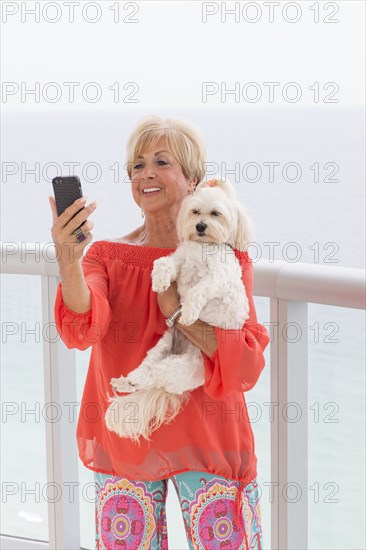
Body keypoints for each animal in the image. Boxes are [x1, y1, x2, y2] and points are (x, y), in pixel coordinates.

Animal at [103, 180, 252, 444]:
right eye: (195, 211)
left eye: (215, 213)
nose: (200, 226)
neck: (202, 247)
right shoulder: (180, 258)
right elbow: (164, 263)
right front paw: (160, 281)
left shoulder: (218, 277)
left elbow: (198, 289)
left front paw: (190, 312)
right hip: (161, 346)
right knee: (145, 368)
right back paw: (125, 382)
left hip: (180, 367)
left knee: (153, 374)